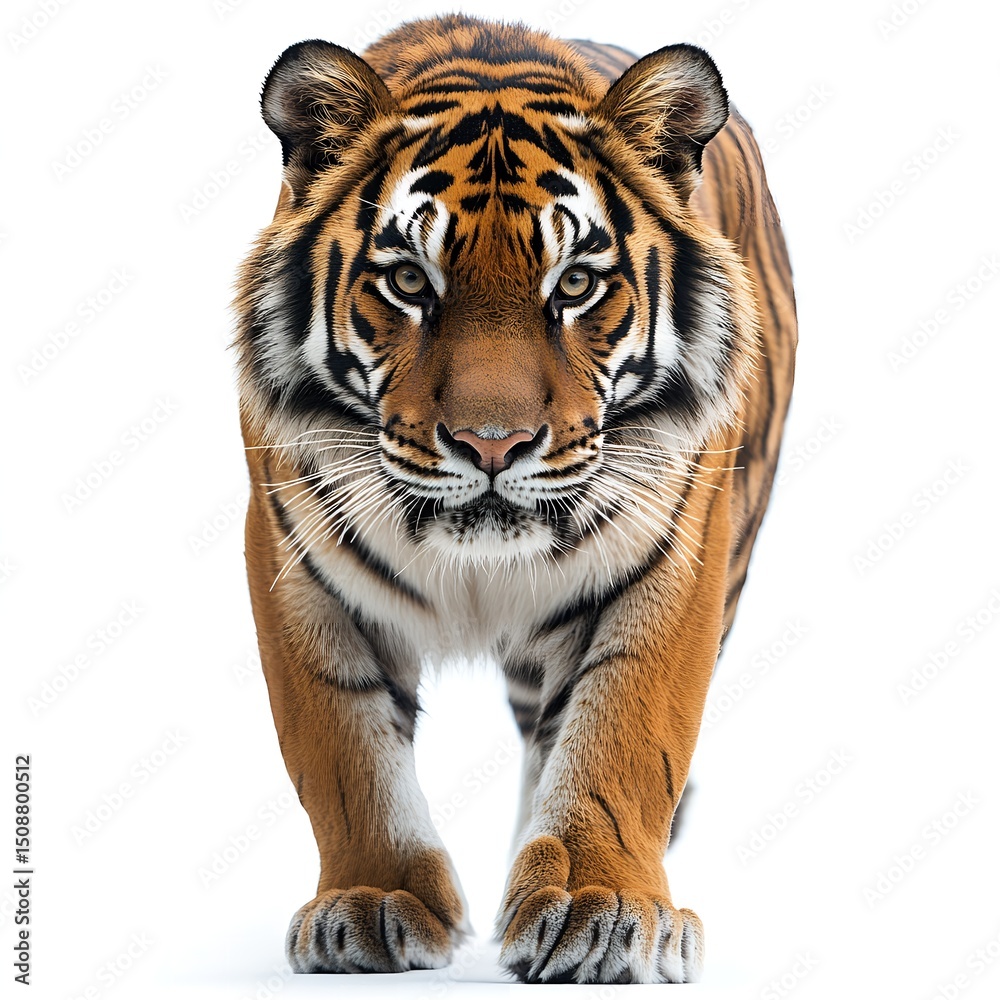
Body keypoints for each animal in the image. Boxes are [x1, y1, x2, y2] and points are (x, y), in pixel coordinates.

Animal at [235, 13, 796, 985]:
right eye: (409, 282)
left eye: (574, 284)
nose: (492, 444)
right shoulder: (292, 559)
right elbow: (342, 749)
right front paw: (374, 900)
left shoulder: (678, 551)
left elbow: (624, 732)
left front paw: (599, 904)